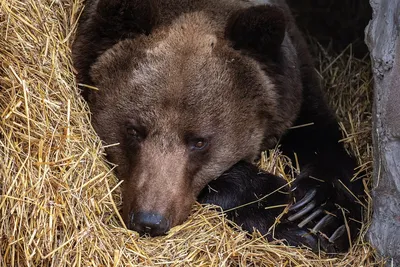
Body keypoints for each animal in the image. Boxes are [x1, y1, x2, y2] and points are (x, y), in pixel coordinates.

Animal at [72, 0, 366, 253]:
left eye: (199, 141)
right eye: (133, 130)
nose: (149, 219)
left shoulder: (295, 85)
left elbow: (322, 139)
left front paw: (320, 214)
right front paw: (284, 212)